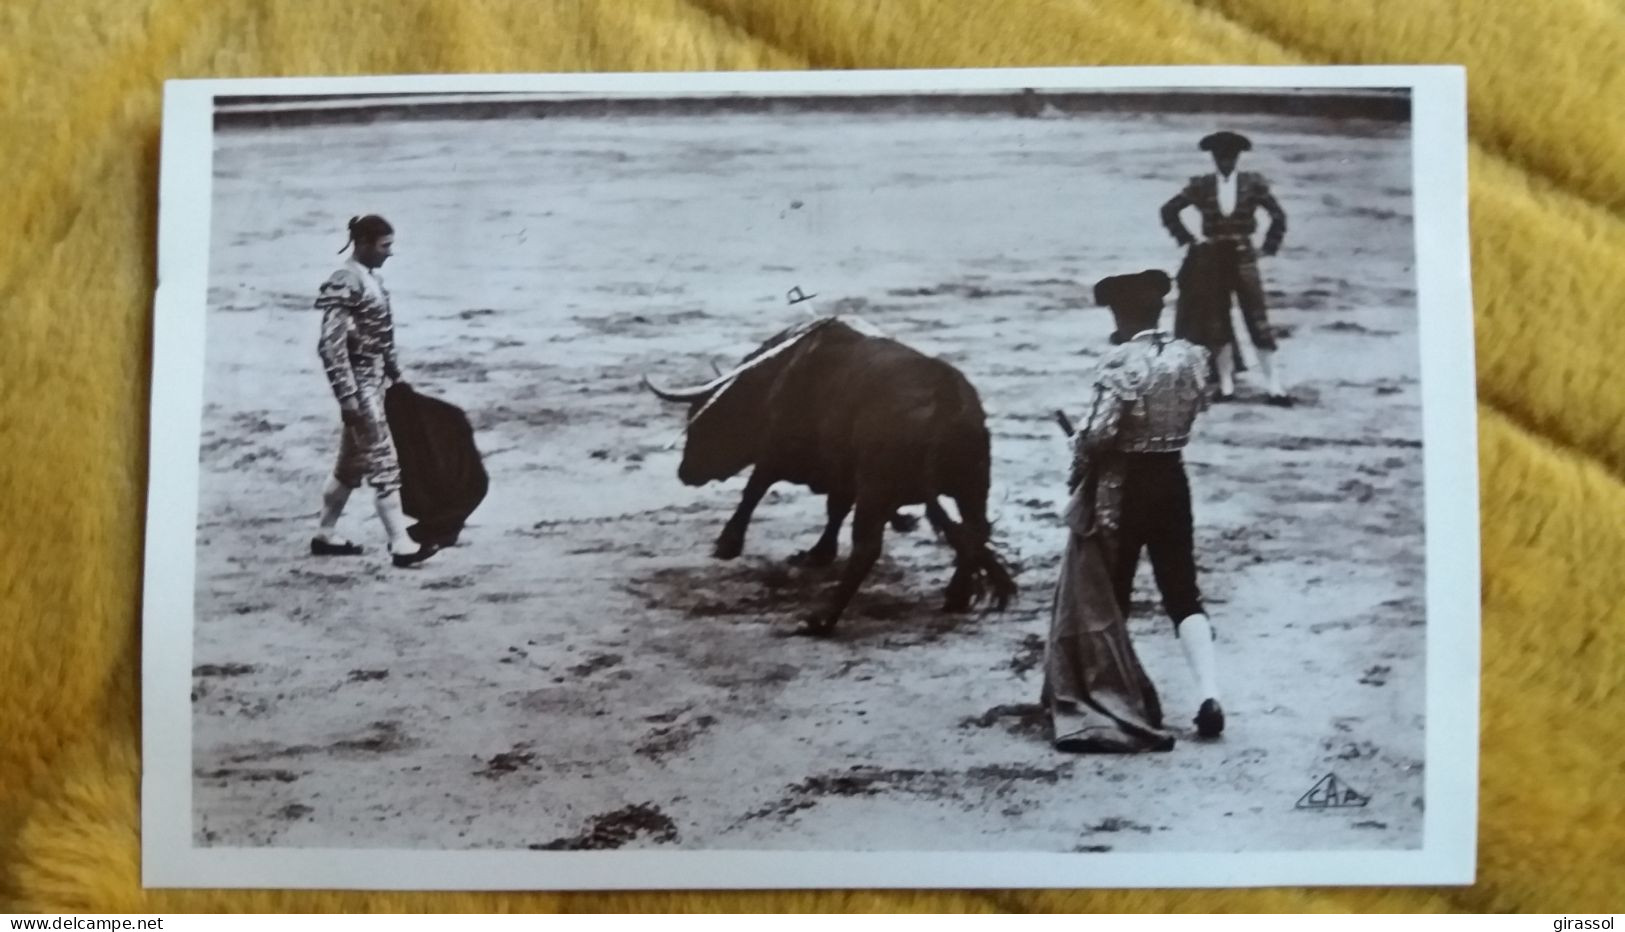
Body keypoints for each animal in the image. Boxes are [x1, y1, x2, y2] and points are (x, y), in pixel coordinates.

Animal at [643, 319, 1014, 636]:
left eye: (702, 422)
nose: (684, 472)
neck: (777, 378)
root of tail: (944, 397)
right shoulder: (843, 477)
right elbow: (834, 509)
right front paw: (818, 552)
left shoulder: (775, 452)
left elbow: (754, 490)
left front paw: (727, 543)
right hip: (973, 486)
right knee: (975, 531)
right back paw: (956, 596)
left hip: (877, 490)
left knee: (867, 549)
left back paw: (821, 619)